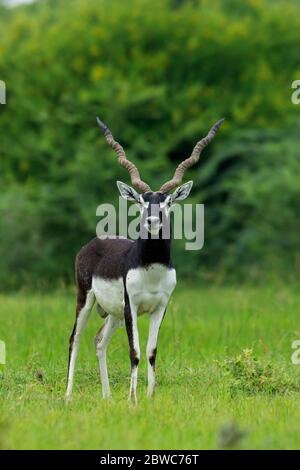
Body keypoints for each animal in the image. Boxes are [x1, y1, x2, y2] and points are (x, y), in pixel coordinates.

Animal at [66, 116, 225, 400]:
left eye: (167, 202)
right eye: (140, 201)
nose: (152, 221)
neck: (152, 269)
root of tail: (91, 244)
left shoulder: (160, 307)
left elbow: (151, 352)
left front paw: (150, 397)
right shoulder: (132, 306)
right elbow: (135, 352)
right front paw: (133, 399)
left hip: (113, 313)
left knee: (99, 341)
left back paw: (107, 397)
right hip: (86, 299)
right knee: (75, 339)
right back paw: (68, 396)